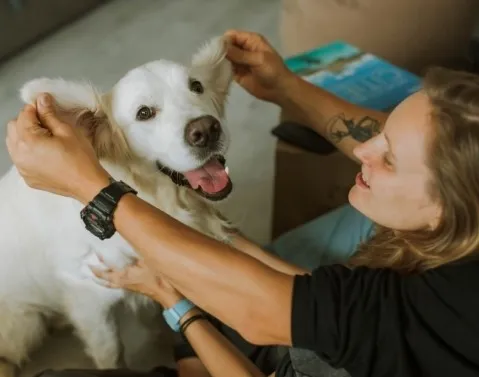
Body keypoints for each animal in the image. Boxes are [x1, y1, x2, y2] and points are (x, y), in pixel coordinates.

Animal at [0, 36, 238, 376]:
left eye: (196, 86)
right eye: (144, 113)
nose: (206, 131)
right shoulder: (88, 298)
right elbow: (111, 354)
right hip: (23, 324)